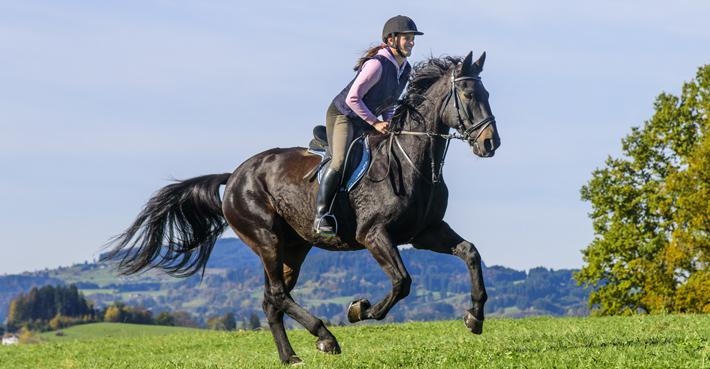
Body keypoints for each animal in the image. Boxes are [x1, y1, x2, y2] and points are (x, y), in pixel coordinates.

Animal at [110, 50, 500, 364]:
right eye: (468, 94)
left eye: (487, 94)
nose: (490, 143)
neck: (410, 161)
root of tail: (234, 175)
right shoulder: (375, 234)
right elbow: (402, 282)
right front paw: (359, 310)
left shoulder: (426, 232)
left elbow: (470, 252)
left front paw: (475, 317)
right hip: (266, 238)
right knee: (278, 295)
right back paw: (326, 337)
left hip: (294, 248)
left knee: (271, 300)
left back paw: (290, 356)